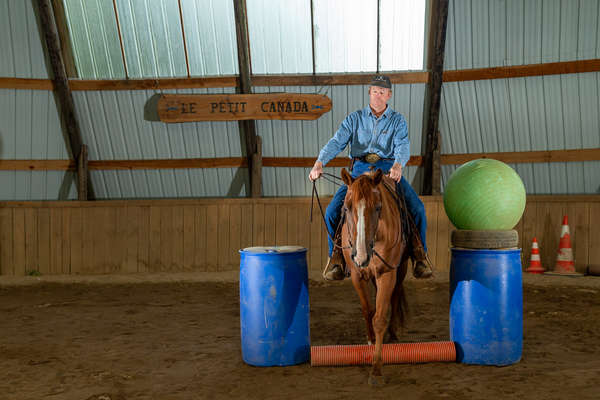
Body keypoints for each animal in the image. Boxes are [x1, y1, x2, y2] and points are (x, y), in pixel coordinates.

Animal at [340, 168, 410, 384]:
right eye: (346, 208)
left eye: (378, 208)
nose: (361, 255)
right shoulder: (357, 275)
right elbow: (368, 309)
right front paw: (370, 339)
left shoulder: (387, 274)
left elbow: (379, 318)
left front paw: (377, 368)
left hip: (400, 269)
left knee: (395, 296)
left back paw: (393, 334)